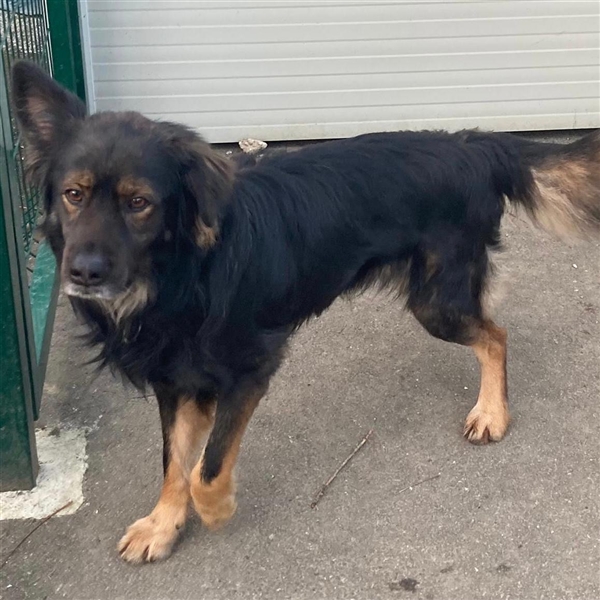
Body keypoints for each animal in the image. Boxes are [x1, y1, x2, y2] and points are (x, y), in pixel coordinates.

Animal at [12, 61, 599, 563]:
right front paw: (163, 525)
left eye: (140, 203)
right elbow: (174, 462)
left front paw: (216, 510)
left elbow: (207, 467)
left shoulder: (250, 367)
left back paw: (492, 413)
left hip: (437, 303)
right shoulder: (176, 380)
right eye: (73, 194)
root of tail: (471, 144)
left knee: (496, 335)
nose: (83, 273)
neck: (182, 273)